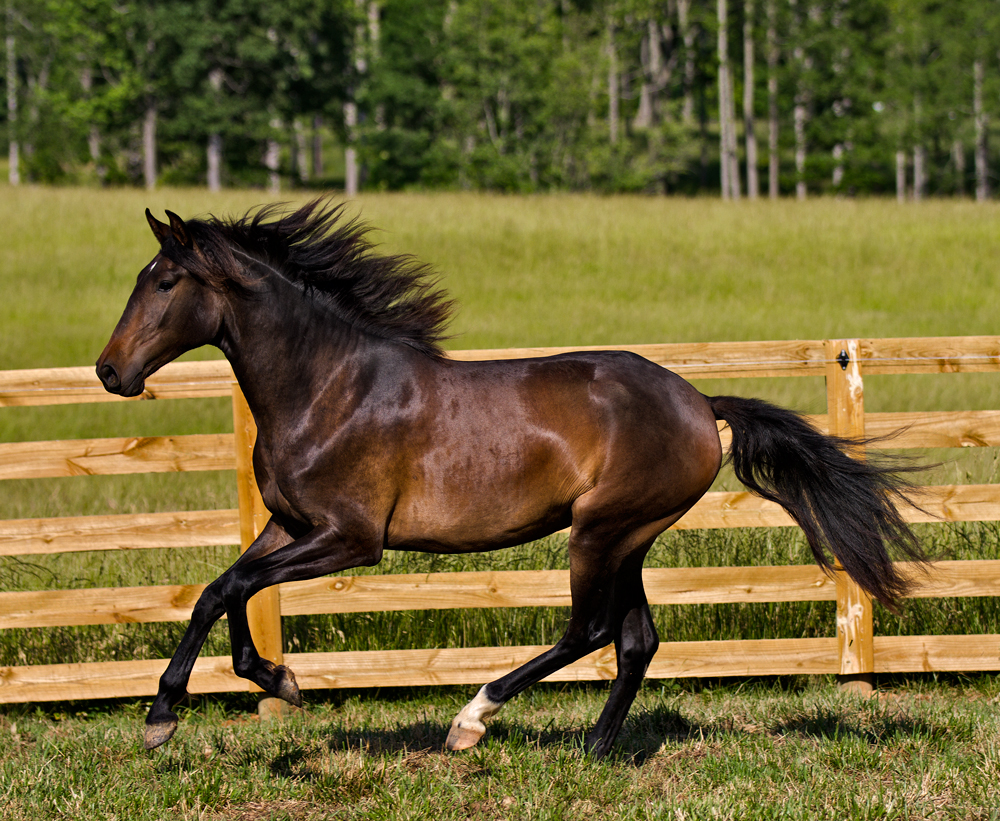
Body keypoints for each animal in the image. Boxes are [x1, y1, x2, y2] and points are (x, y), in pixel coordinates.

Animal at [95, 197, 920, 756]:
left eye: (164, 282)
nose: (110, 371)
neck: (329, 386)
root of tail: (699, 401)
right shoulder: (289, 523)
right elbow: (223, 588)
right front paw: (270, 681)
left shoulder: (350, 538)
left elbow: (232, 586)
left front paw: (167, 716)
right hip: (631, 537)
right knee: (636, 639)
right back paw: (594, 747)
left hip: (601, 529)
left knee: (590, 629)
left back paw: (473, 720)